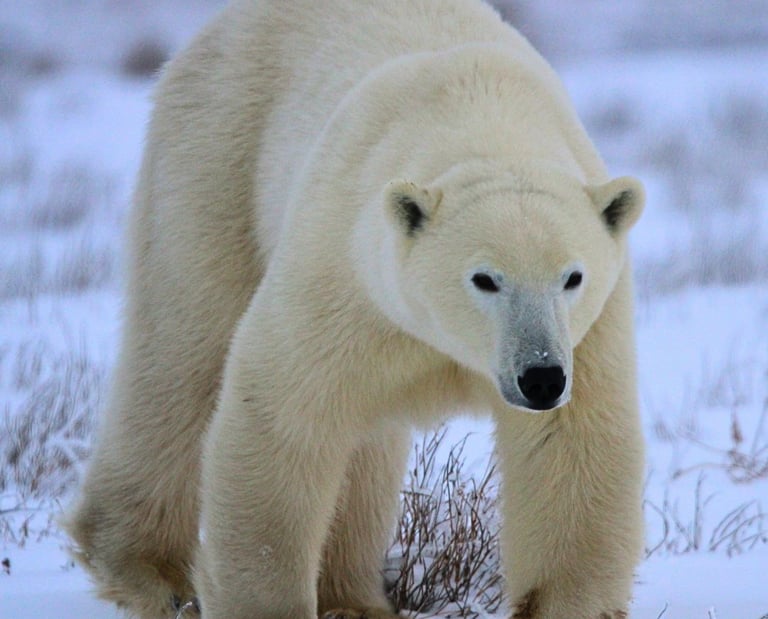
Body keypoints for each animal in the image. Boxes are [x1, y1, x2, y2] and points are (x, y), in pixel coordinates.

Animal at [64, 0, 646, 618]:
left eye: (572, 277)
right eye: (485, 279)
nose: (540, 377)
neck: (483, 116)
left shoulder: (589, 328)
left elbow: (571, 443)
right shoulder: (348, 271)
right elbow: (285, 410)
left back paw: (353, 598)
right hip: (216, 157)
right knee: (184, 354)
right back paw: (149, 574)